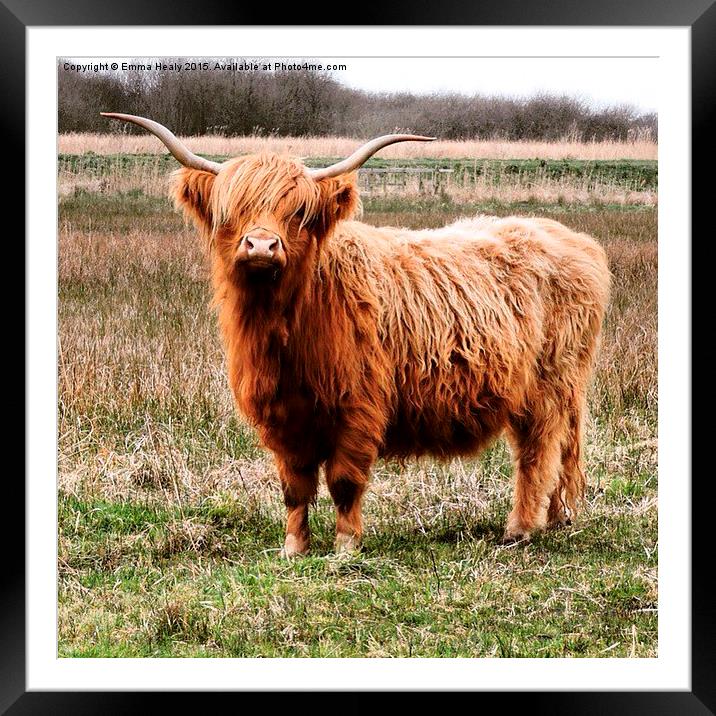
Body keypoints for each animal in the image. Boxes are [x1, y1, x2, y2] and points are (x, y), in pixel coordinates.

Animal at [103, 113, 612, 560]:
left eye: (298, 212)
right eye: (233, 210)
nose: (262, 245)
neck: (285, 331)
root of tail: (573, 239)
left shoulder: (358, 406)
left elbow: (344, 481)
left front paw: (346, 547)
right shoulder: (282, 416)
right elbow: (294, 487)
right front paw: (294, 547)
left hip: (547, 387)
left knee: (537, 453)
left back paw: (521, 529)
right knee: (564, 451)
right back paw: (559, 518)